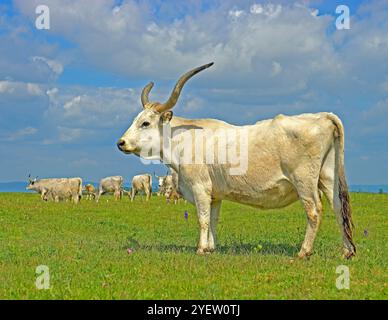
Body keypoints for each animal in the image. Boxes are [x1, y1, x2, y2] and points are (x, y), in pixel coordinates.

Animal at [116, 63, 356, 260]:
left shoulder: (200, 188)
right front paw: (210, 248)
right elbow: (213, 219)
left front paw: (201, 249)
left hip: (304, 180)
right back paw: (347, 252)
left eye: (146, 123)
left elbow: (203, 218)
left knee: (314, 211)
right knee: (338, 207)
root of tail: (322, 115)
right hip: (327, 177)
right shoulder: (215, 194)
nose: (121, 142)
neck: (182, 138)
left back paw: (304, 251)